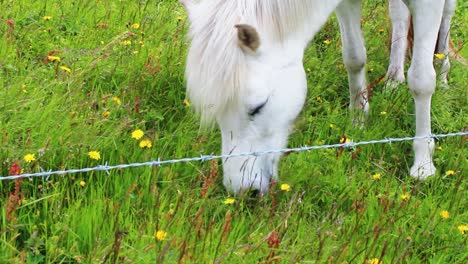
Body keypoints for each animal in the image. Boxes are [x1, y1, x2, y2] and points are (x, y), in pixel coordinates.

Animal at [182, 0, 454, 194]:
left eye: (258, 107)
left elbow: (421, 81)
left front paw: (423, 164)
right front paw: (358, 122)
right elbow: (354, 57)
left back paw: (443, 72)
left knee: (447, 14)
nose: (240, 189)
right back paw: (394, 79)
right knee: (398, 14)